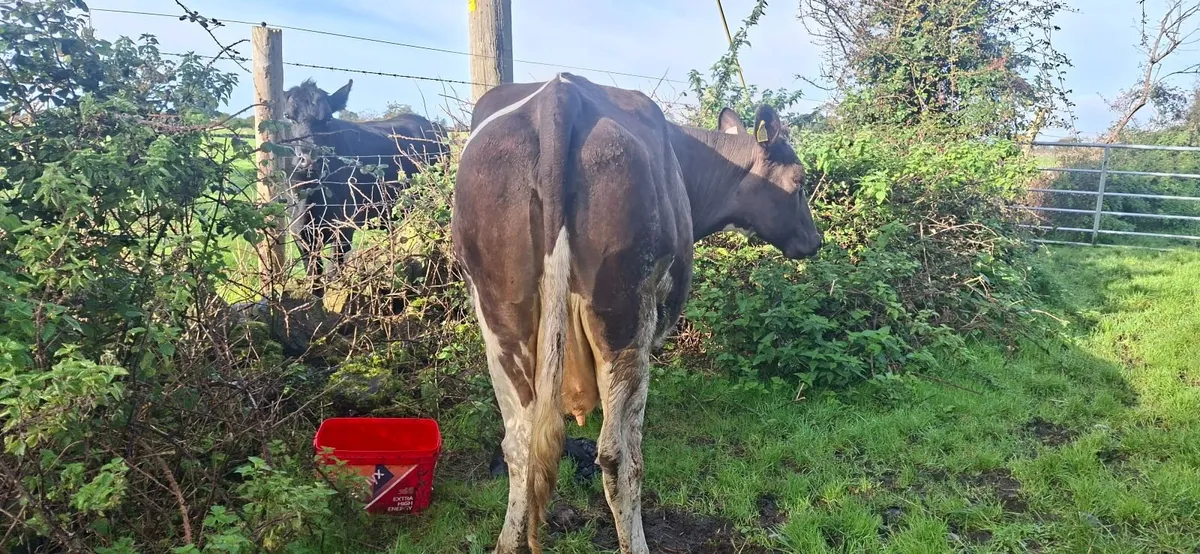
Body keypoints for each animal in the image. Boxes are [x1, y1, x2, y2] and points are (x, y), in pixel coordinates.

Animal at [282, 78, 448, 295]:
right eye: (287, 116)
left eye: (328, 119)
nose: (309, 159)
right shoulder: (301, 234)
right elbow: (314, 281)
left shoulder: (344, 229)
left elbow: (333, 274)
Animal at [452, 72, 822, 553]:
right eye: (799, 180)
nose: (815, 240)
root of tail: (560, 93)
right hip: (626, 318)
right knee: (617, 454)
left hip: (500, 316)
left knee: (519, 445)